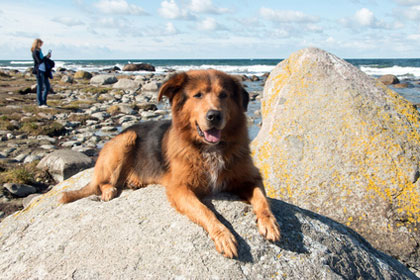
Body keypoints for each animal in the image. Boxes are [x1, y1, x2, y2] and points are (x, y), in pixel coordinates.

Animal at [60, 69, 278, 258]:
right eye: (198, 95)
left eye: (223, 95)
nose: (214, 116)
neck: (210, 149)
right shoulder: (179, 188)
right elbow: (205, 211)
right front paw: (223, 235)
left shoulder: (250, 179)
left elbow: (262, 200)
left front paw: (270, 223)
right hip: (125, 140)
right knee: (100, 183)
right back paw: (109, 189)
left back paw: (133, 181)